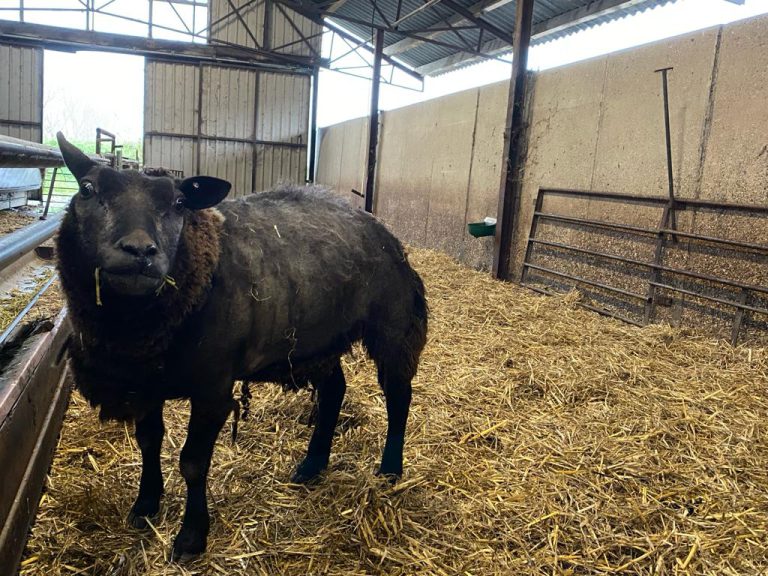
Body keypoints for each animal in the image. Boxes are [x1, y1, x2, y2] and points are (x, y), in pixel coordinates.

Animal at [54, 134, 426, 560]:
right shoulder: (146, 382)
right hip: (316, 340)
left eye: (179, 203)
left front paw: (191, 537)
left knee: (398, 395)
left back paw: (390, 470)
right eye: (87, 189)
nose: (139, 251)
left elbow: (193, 462)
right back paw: (311, 466)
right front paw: (145, 506)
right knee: (335, 391)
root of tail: (380, 227)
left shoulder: (212, 388)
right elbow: (149, 442)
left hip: (393, 325)